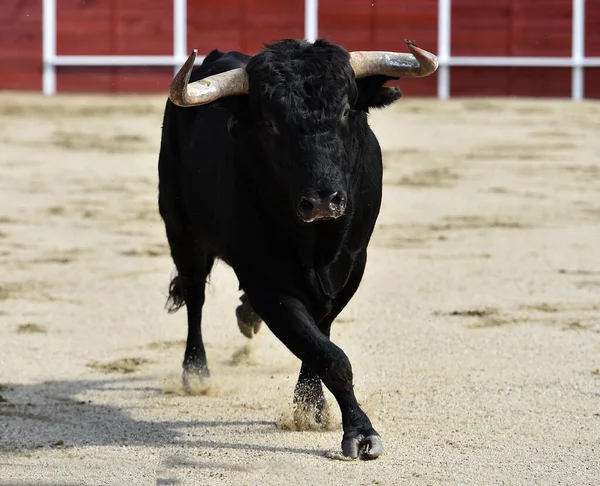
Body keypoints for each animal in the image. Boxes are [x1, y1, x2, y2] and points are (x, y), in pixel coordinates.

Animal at [157, 38, 438, 460]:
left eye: (345, 110)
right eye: (272, 124)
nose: (322, 200)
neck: (315, 246)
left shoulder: (351, 268)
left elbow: (320, 334)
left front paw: (311, 405)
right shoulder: (266, 281)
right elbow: (327, 353)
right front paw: (359, 431)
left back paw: (245, 318)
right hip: (181, 230)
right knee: (194, 296)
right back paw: (196, 373)